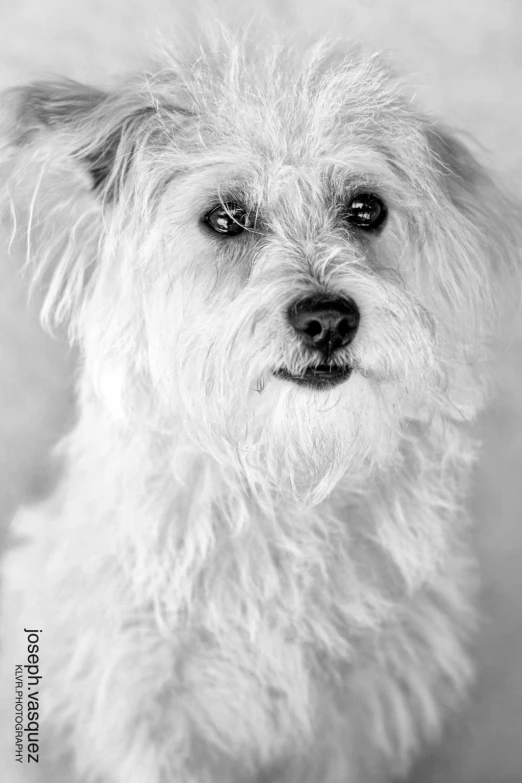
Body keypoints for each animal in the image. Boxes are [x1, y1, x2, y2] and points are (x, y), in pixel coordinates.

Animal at [0, 21, 516, 783]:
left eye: (366, 208)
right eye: (225, 218)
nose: (328, 320)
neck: (284, 478)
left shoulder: (352, 721)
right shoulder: (145, 715)